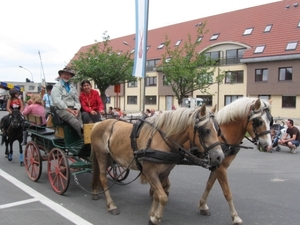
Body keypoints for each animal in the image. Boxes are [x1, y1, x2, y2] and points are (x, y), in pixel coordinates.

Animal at [91, 105, 225, 225]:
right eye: (206, 130)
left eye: (218, 130)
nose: (220, 157)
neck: (160, 140)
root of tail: (98, 124)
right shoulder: (150, 172)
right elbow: (163, 197)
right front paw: (156, 218)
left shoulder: (164, 173)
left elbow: (158, 195)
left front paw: (152, 214)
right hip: (102, 155)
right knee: (103, 178)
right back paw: (111, 205)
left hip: (109, 159)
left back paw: (95, 191)